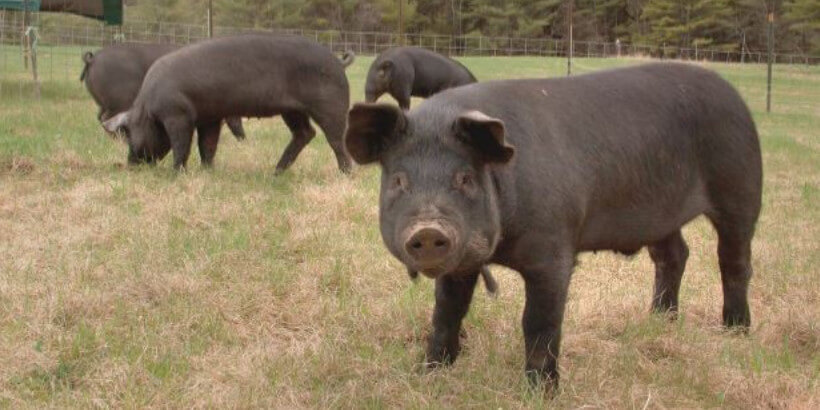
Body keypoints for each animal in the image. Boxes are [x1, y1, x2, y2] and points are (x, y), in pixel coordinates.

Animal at [81, 43, 246, 141]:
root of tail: (92, 59)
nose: (243, 137)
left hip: (103, 103)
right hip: (118, 101)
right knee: (108, 119)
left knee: (100, 117)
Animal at [103, 35, 355, 172]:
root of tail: (338, 62)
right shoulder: (210, 117)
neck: (148, 107)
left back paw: (346, 173)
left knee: (336, 138)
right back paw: (276, 172)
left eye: (129, 133)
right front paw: (207, 170)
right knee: (305, 133)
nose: (131, 164)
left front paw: (176, 172)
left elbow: (181, 144)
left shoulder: (178, 115)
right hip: (292, 110)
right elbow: (207, 145)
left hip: (330, 105)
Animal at [344, 62, 762, 389]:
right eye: (399, 181)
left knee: (734, 260)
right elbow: (447, 311)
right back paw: (659, 319)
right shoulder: (461, 265)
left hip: (740, 187)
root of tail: (734, 95)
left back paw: (736, 331)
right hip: (660, 214)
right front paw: (429, 374)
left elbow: (539, 321)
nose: (429, 229)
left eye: (465, 178)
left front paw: (540, 391)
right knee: (674, 254)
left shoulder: (553, 251)